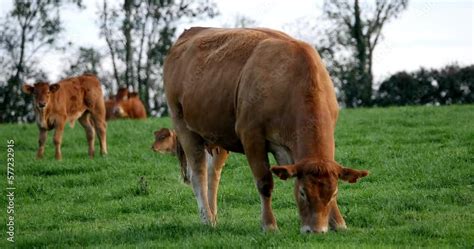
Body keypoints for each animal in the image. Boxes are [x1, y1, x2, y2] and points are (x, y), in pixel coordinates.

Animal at [165, 27, 368, 233]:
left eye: (333, 194)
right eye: (302, 193)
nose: (316, 231)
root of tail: (191, 31)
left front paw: (338, 223)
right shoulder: (252, 136)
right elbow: (264, 182)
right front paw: (269, 225)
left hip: (218, 136)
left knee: (213, 175)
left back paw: (214, 218)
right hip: (183, 126)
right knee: (198, 175)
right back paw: (207, 219)